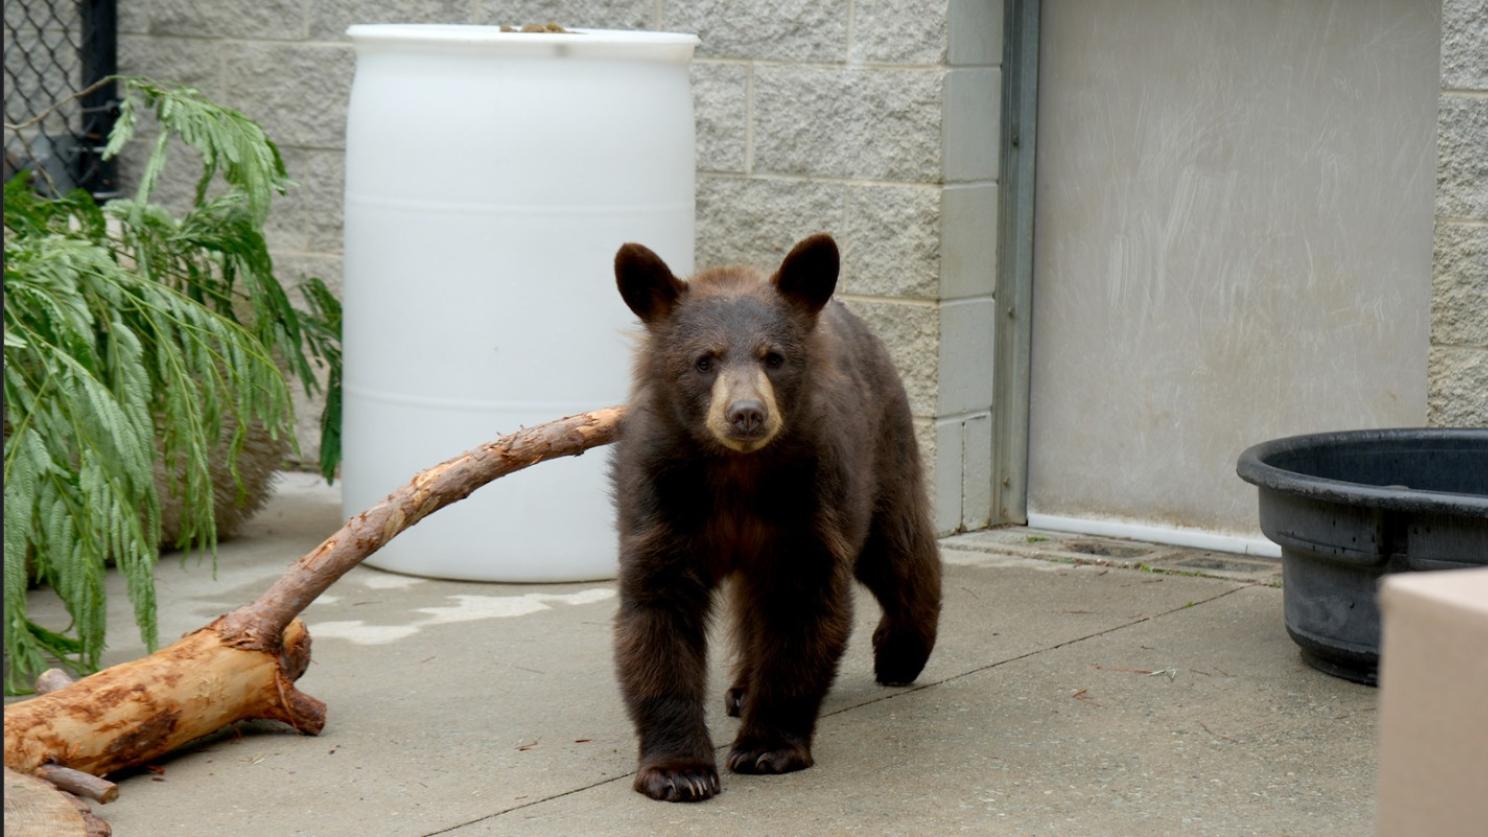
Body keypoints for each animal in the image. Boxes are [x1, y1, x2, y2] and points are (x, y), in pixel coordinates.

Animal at [610, 233, 943, 803]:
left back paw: (900, 654)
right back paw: (742, 687)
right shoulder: (662, 498)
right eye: (704, 361)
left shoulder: (810, 497)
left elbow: (802, 606)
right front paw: (679, 771)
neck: (738, 474)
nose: (746, 413)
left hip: (882, 449)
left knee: (898, 547)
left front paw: (767, 748)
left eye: (774, 358)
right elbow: (658, 611)